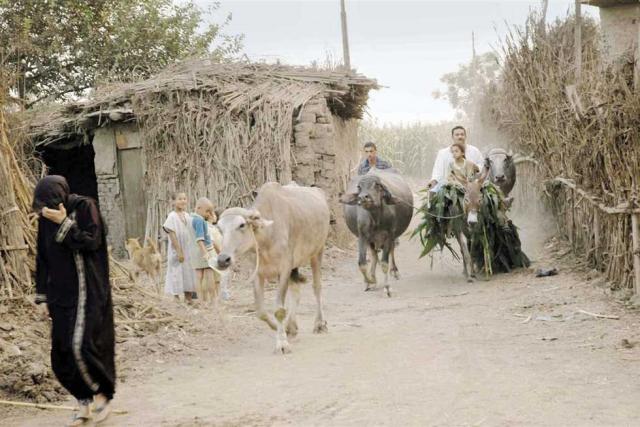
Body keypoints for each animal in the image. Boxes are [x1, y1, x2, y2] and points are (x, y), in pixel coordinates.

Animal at [218, 182, 332, 352]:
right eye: (219, 228)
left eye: (242, 225)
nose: (223, 259)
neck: (267, 238)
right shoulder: (258, 273)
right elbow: (261, 312)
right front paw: (280, 329)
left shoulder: (284, 269)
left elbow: (279, 310)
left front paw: (282, 343)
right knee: (296, 289)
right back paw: (291, 326)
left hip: (317, 252)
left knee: (317, 287)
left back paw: (319, 324)